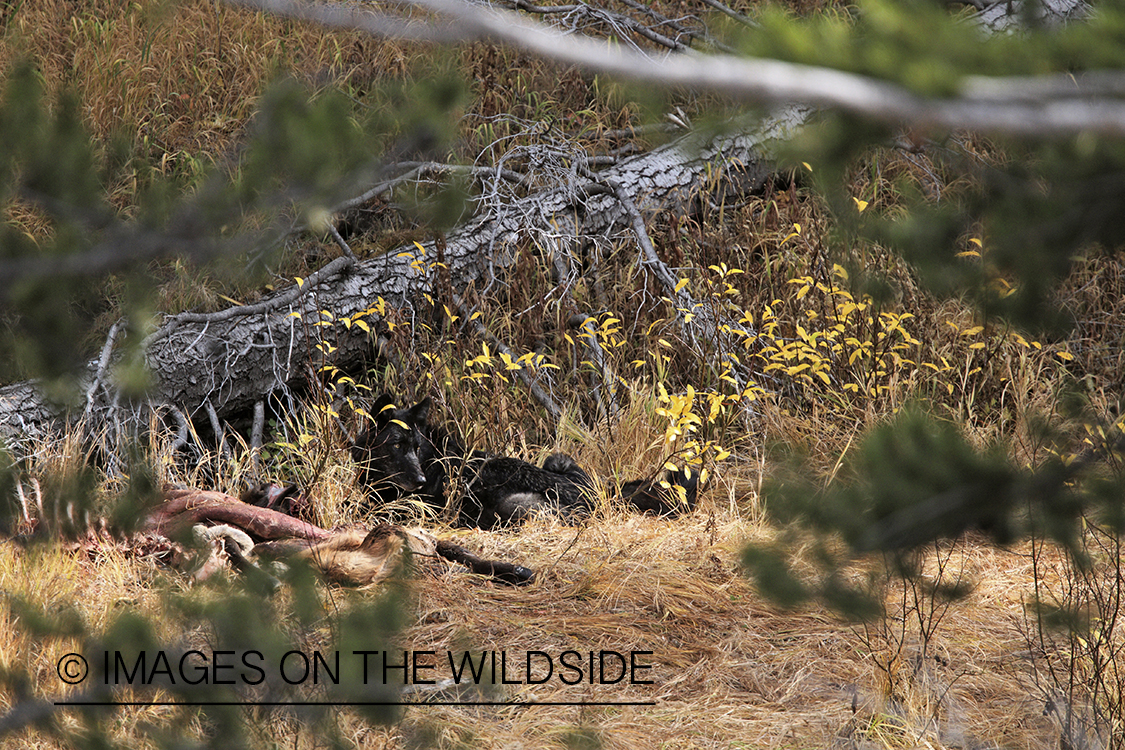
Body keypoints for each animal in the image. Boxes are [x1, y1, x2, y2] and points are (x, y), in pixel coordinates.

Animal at [351, 394, 699, 529]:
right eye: (398, 444)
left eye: (416, 446)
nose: (421, 481)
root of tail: (597, 496)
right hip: (556, 459)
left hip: (514, 505)